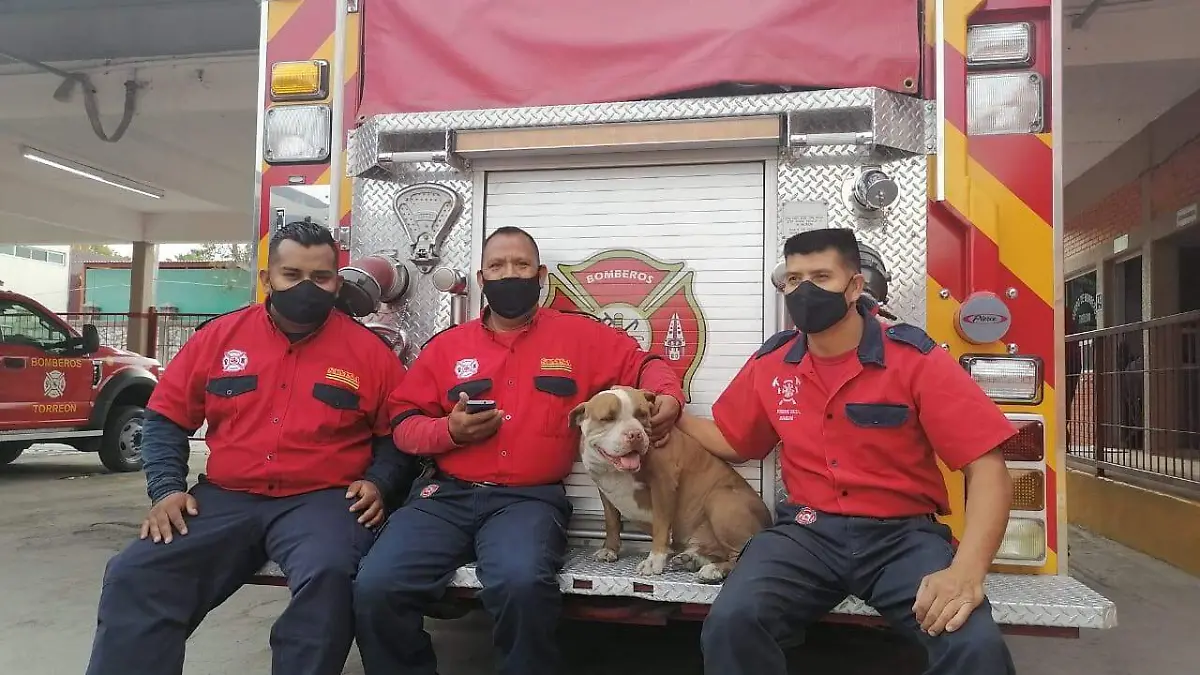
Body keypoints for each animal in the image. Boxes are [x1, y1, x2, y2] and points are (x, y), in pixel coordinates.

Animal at [568, 386, 768, 581]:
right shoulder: (604, 490)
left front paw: (653, 561)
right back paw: (691, 559)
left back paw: (714, 570)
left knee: (740, 555)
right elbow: (611, 521)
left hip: (720, 500)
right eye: (608, 418)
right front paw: (609, 549)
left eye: (642, 414)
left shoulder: (663, 483)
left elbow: (660, 526)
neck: (614, 470)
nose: (635, 434)